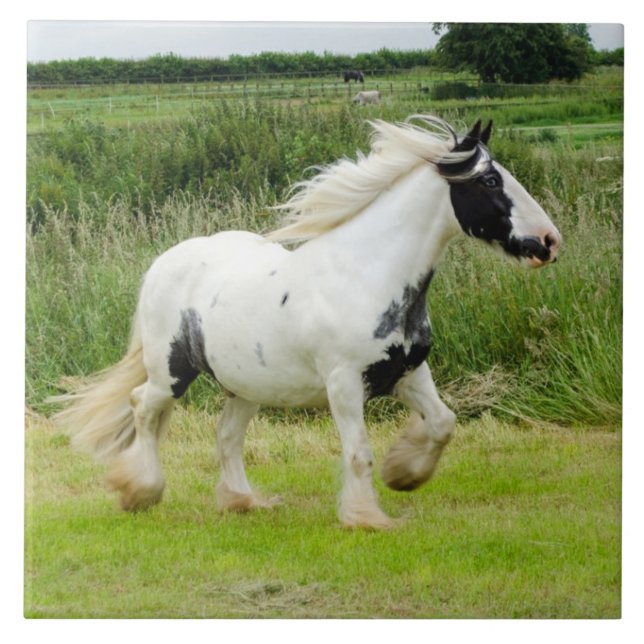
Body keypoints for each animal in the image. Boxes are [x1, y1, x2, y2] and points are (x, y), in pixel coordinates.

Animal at [50, 115, 561, 530]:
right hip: (170, 372)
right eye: (491, 180)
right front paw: (366, 518)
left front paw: (404, 475)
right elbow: (358, 452)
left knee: (225, 434)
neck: (367, 274)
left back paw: (242, 502)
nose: (549, 241)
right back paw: (141, 491)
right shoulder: (344, 383)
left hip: (244, 385)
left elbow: (443, 423)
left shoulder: (408, 371)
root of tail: (163, 264)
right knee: (143, 406)